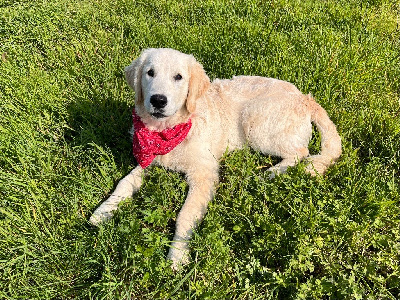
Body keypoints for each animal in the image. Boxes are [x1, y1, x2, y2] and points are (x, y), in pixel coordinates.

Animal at [89, 47, 342, 270]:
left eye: (178, 77)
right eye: (150, 72)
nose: (158, 100)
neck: (168, 130)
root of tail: (305, 98)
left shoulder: (205, 173)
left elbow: (185, 215)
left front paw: (177, 256)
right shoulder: (149, 160)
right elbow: (124, 183)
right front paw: (103, 211)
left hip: (254, 120)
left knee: (301, 152)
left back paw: (271, 173)